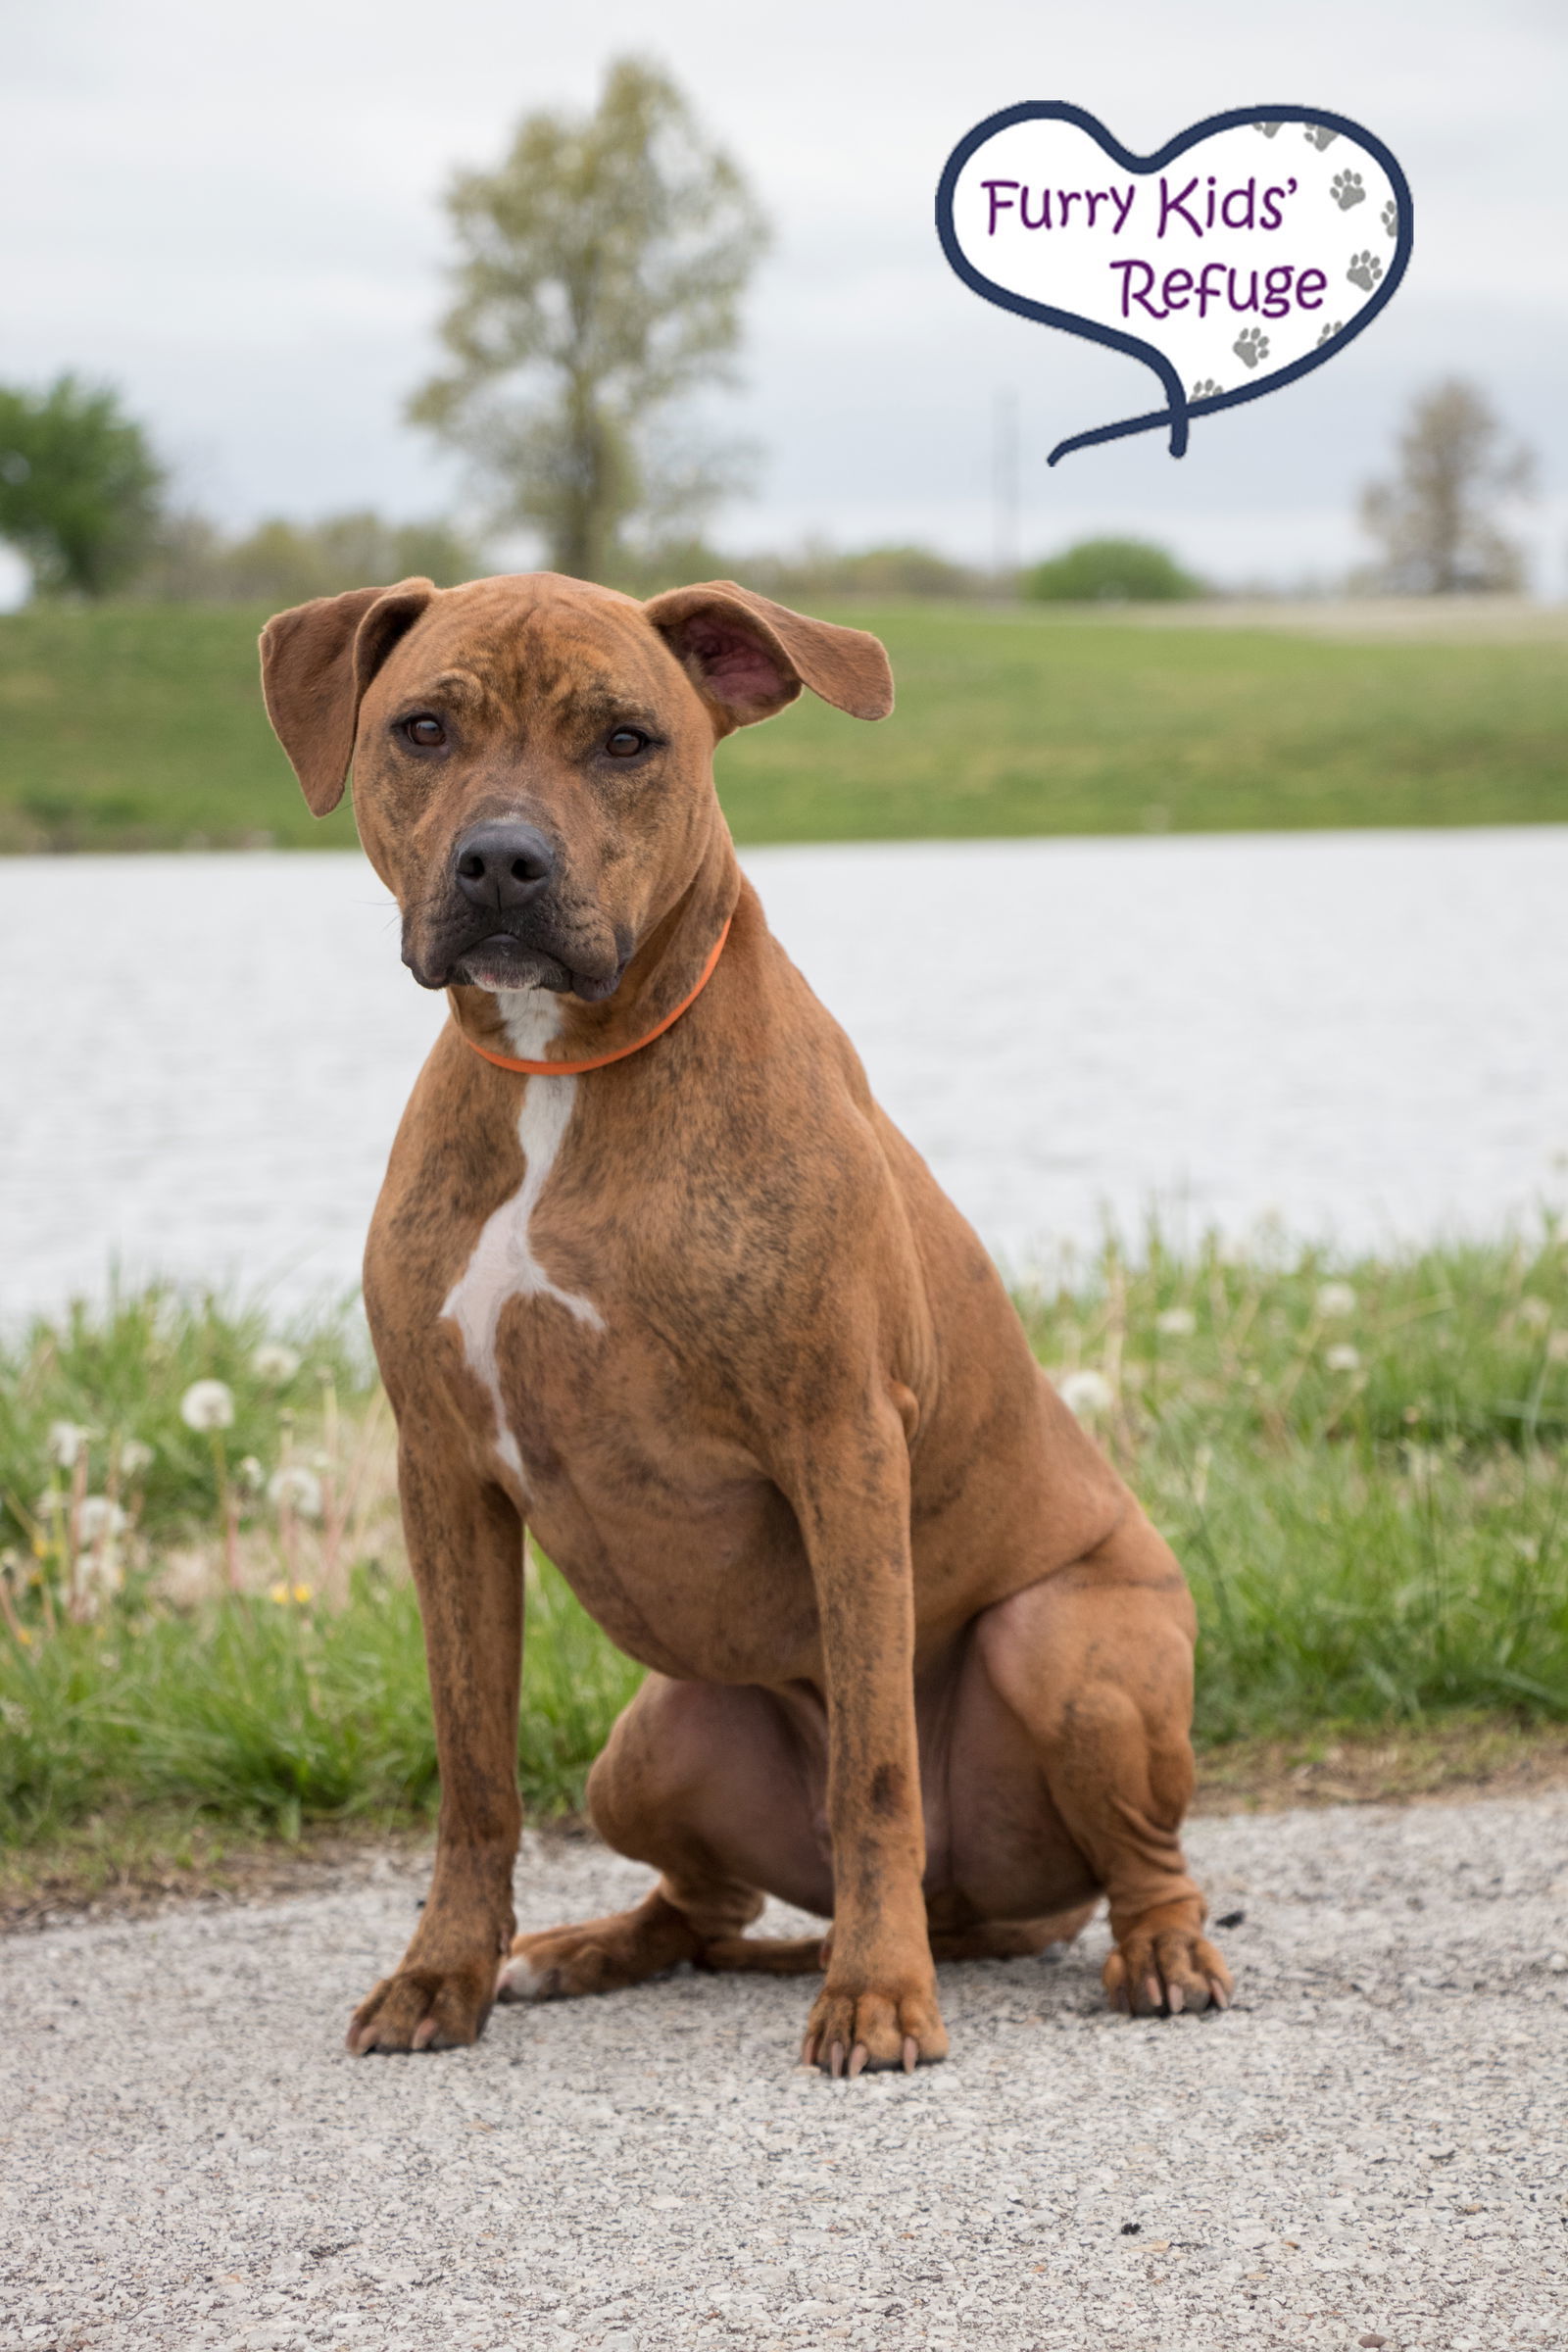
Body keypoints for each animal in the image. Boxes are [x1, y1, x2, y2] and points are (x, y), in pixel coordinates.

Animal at [263, 573, 1231, 2079]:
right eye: (422, 728)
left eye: (626, 740)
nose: (502, 864)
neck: (563, 1072)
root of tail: (979, 1912)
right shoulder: (444, 1476)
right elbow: (473, 1770)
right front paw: (445, 1971)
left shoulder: (842, 1443)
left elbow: (877, 1768)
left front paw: (877, 1995)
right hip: (650, 1746)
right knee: (699, 1904)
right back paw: (582, 1951)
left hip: (1069, 1650)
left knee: (1140, 1860)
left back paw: (1154, 1951)